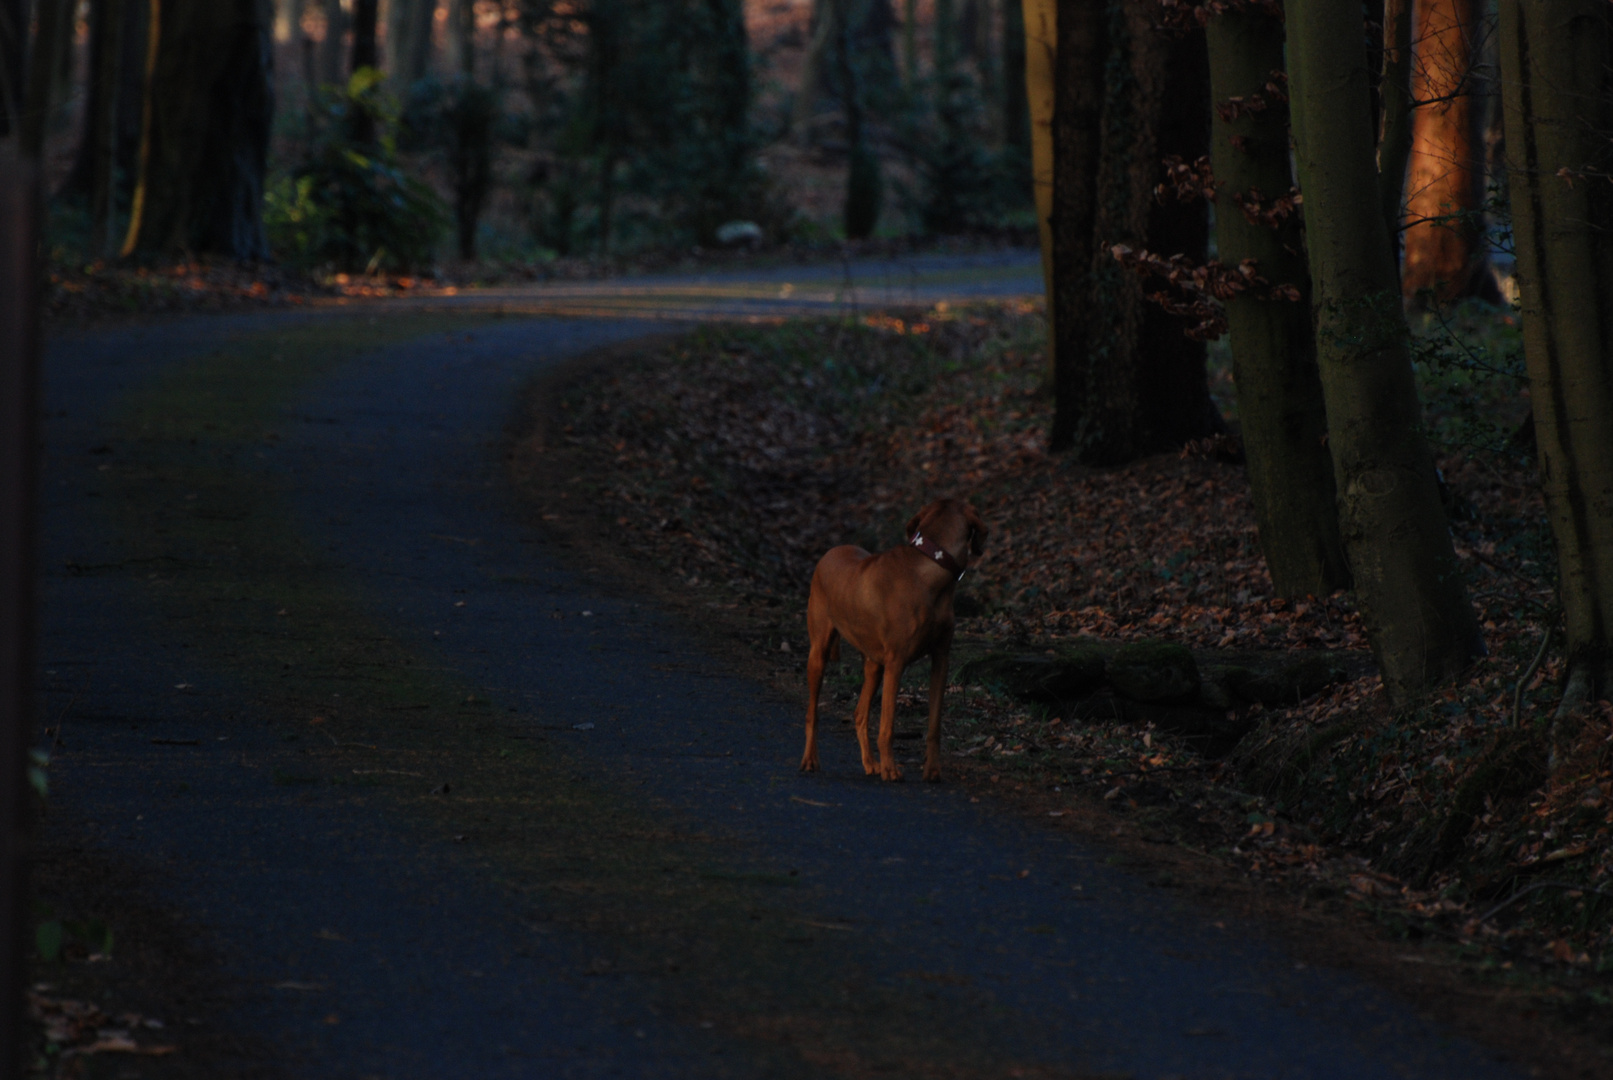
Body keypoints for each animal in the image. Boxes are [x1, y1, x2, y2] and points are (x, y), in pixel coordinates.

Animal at [796, 502, 980, 783]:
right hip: (819, 653)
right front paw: (891, 769)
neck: (929, 569)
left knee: (860, 714)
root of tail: (831, 551)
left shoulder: (941, 659)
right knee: (812, 713)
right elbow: (888, 725)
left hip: (874, 665)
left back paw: (871, 763)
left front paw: (932, 769)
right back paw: (810, 759)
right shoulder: (897, 663)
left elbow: (934, 724)